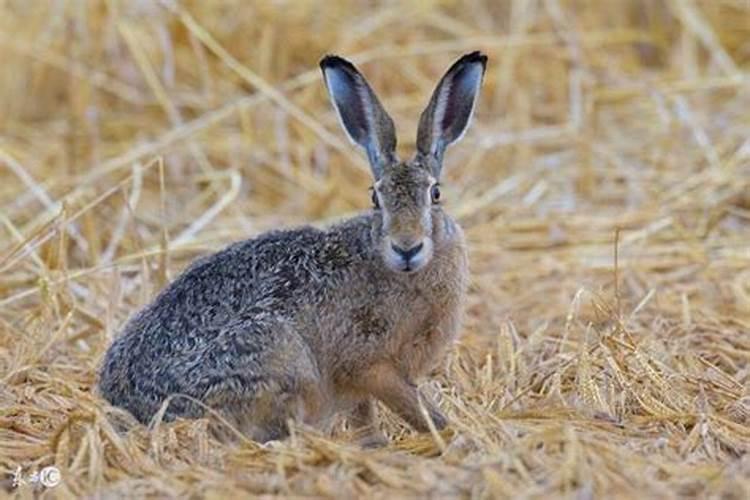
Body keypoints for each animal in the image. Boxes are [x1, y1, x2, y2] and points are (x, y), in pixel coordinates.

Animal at [98, 50, 488, 446]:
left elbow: (366, 414)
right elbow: (414, 405)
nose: (406, 247)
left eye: (435, 194)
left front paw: (376, 444)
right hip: (280, 357)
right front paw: (452, 436)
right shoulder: (367, 363)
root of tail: (129, 408)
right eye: (375, 198)